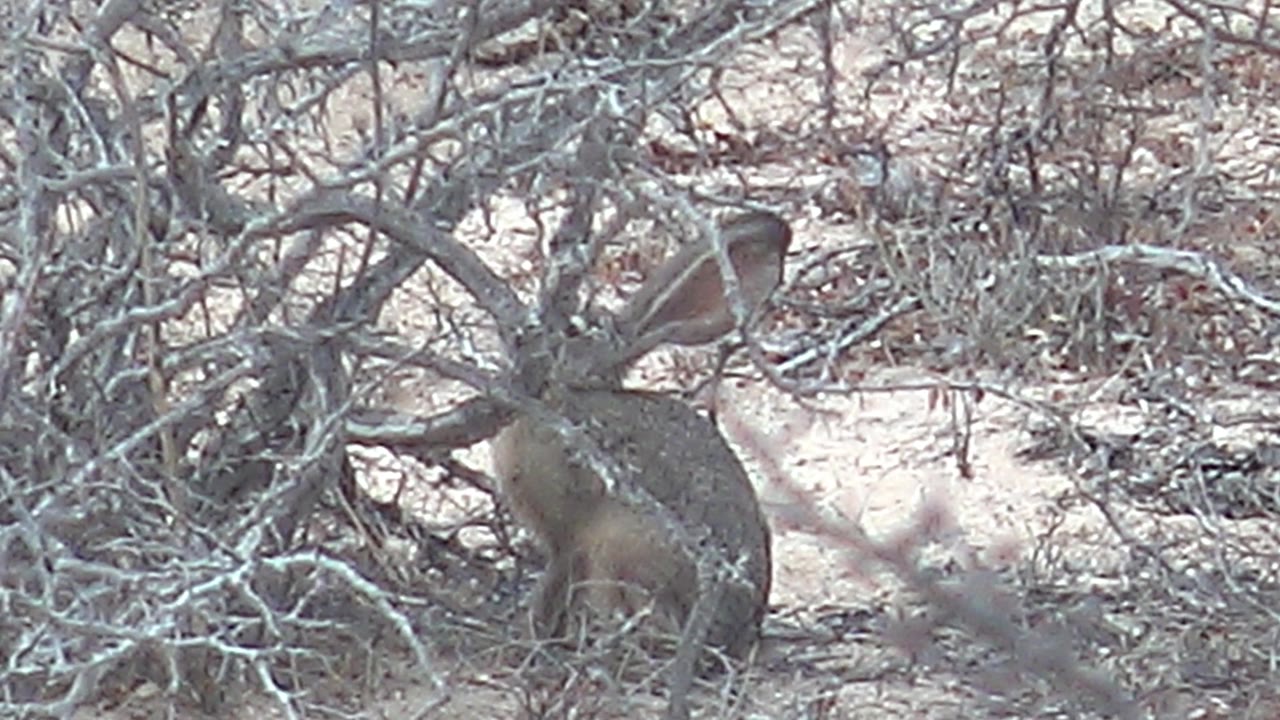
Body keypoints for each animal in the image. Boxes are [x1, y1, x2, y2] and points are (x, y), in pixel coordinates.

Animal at [492, 210, 790, 659]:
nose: (517, 333)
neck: (577, 389)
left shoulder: (568, 533)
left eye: (572, 330)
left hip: (621, 548)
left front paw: (533, 636)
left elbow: (554, 581)